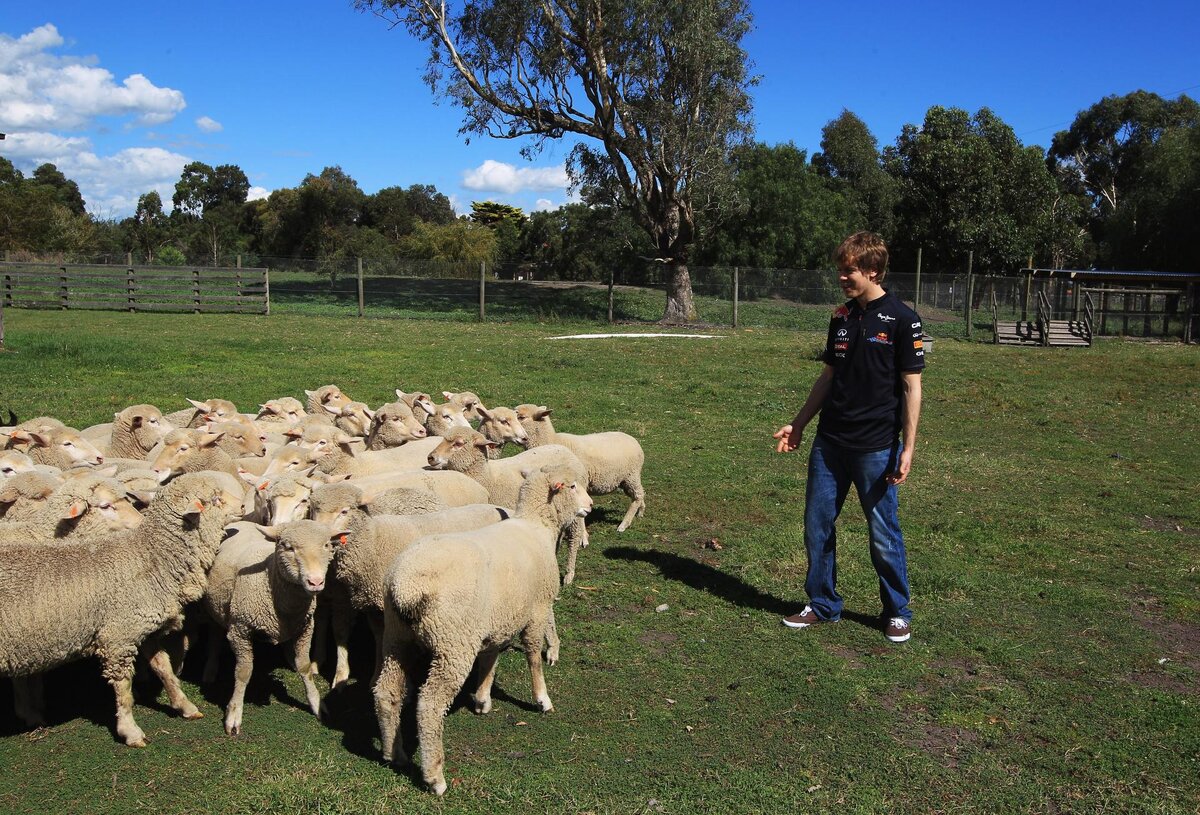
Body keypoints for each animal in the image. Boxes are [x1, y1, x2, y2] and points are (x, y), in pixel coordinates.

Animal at [0, 472, 247, 744]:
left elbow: (165, 670)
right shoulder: (118, 638)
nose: (244, 506)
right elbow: (124, 689)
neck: (149, 557)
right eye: (215, 499)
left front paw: (185, 706)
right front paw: (130, 730)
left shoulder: (143, 628)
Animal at [201, 523, 340, 739]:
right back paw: (210, 669)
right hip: (215, 607)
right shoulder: (240, 630)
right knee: (215, 634)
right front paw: (234, 714)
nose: (316, 582)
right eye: (288, 547)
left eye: (327, 545)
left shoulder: (306, 628)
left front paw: (316, 703)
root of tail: (240, 523)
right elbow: (243, 672)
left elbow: (305, 667)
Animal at [374, 465, 590, 796]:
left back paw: (393, 753)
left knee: (387, 691)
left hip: (396, 638)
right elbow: (532, 655)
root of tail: (406, 587)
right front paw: (542, 698)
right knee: (430, 705)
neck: (537, 527)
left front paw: (482, 698)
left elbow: (491, 656)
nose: (589, 506)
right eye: (573, 486)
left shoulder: (498, 620)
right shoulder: (537, 609)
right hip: (452, 643)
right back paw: (435, 777)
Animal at [516, 405, 648, 532]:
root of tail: (634, 441)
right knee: (640, 493)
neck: (552, 441)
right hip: (625, 479)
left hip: (631, 475)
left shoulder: (579, 481)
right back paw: (640, 512)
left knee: (638, 495)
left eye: (521, 417)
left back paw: (624, 524)